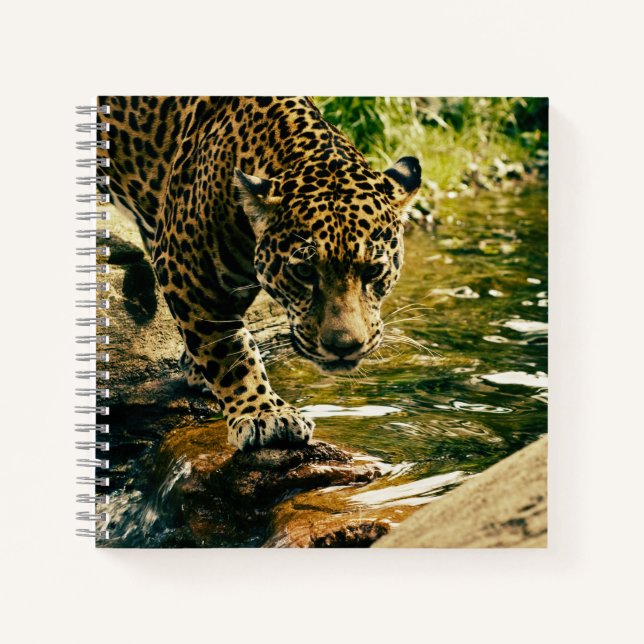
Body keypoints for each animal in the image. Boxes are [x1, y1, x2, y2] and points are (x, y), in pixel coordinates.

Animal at [97, 96, 421, 451]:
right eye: (305, 272)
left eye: (373, 271)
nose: (344, 347)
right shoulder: (186, 268)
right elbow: (229, 349)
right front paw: (264, 413)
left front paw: (196, 370)